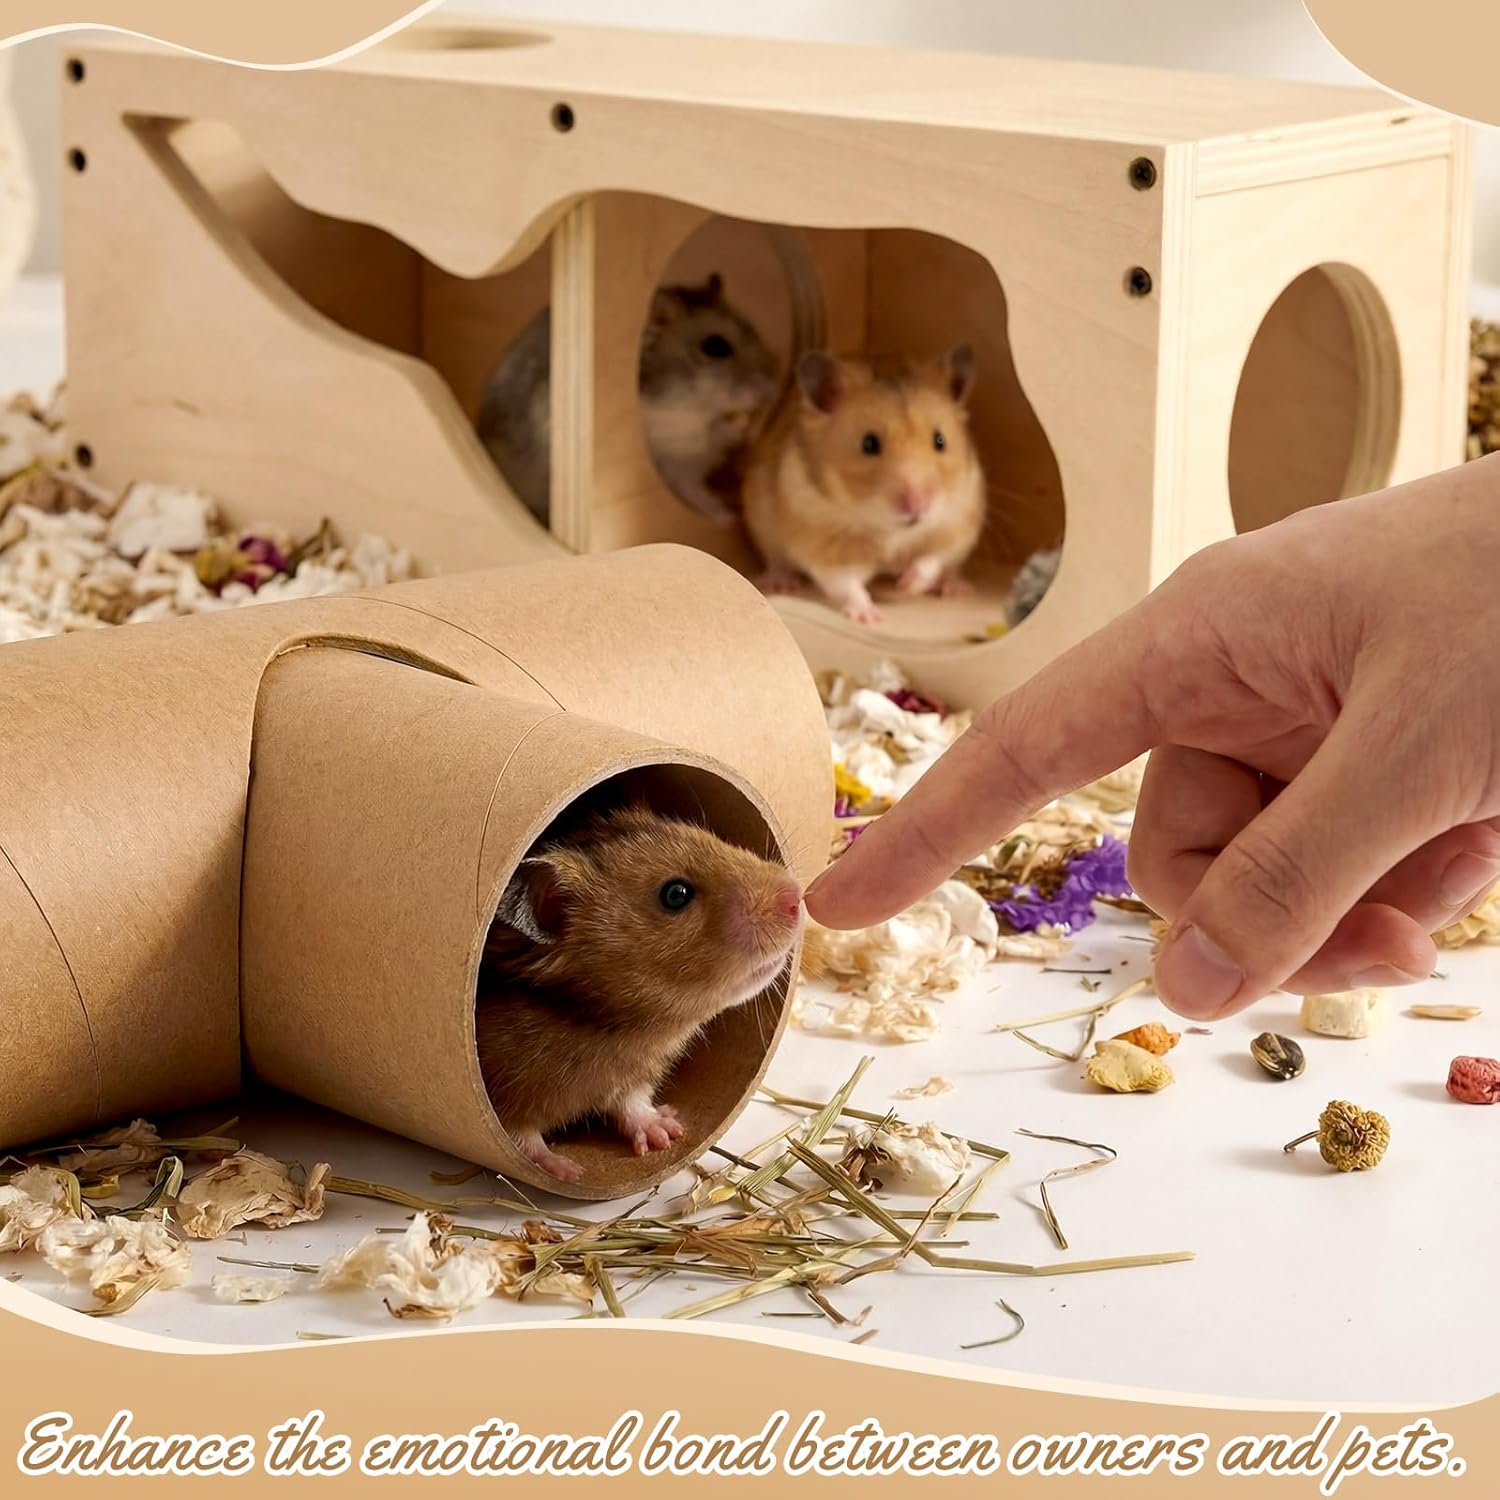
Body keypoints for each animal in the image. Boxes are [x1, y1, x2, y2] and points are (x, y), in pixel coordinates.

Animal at [475, 804, 803, 1184]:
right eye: (675, 894)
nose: (796, 896)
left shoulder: (633, 1075)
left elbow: (631, 1103)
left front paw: (669, 1131)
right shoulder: (503, 1095)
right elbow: (524, 1137)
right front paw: (569, 1172)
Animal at [476, 274, 779, 529]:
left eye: (753, 326)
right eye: (716, 347)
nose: (772, 383)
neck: (692, 401)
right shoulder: (675, 436)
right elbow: (706, 444)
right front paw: (729, 517)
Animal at [741, 346, 986, 625]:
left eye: (940, 440)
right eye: (869, 444)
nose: (918, 506)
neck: (891, 530)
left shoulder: (958, 521)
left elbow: (932, 559)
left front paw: (908, 585)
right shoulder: (823, 544)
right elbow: (846, 584)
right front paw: (870, 617)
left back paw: (958, 588)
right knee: (777, 561)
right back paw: (781, 584)